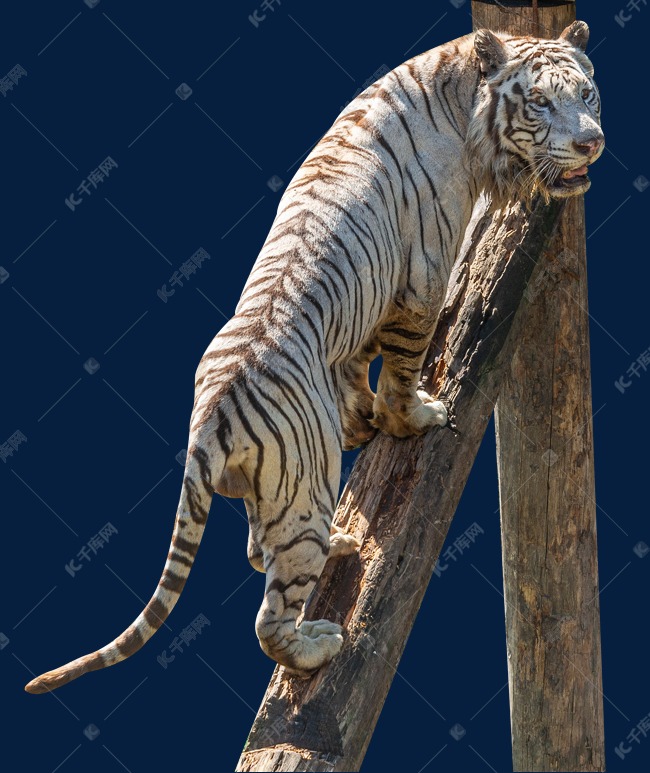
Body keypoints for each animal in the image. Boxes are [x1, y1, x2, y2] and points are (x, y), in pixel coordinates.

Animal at [26, 20, 603, 693]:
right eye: (539, 103)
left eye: (587, 94)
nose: (591, 143)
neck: (463, 103)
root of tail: (210, 418)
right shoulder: (421, 279)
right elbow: (403, 369)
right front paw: (412, 418)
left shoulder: (368, 305)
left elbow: (356, 366)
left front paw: (361, 419)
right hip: (305, 491)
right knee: (269, 616)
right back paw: (319, 643)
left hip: (273, 492)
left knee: (256, 551)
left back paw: (343, 544)